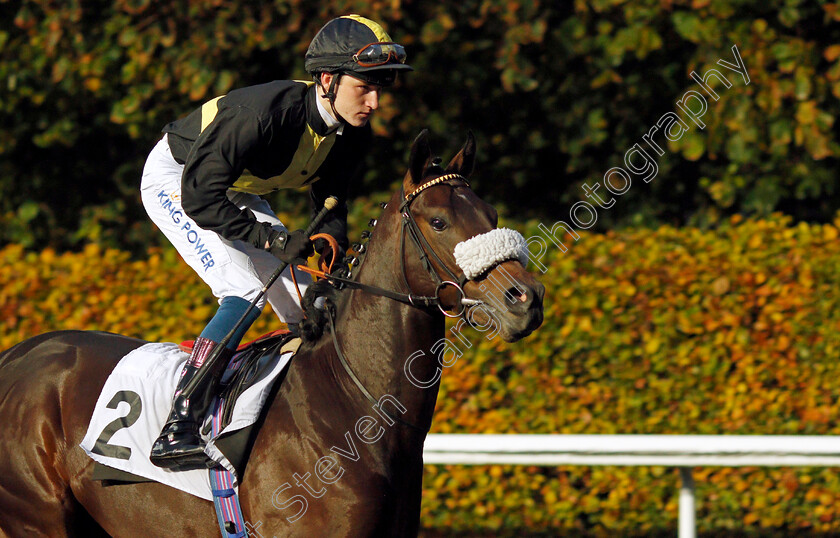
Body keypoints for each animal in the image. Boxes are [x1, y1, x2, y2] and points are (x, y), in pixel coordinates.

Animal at [0, 131, 544, 536]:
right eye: (438, 220)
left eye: (492, 216)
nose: (526, 299)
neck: (356, 405)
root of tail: (19, 355)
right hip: (38, 518)